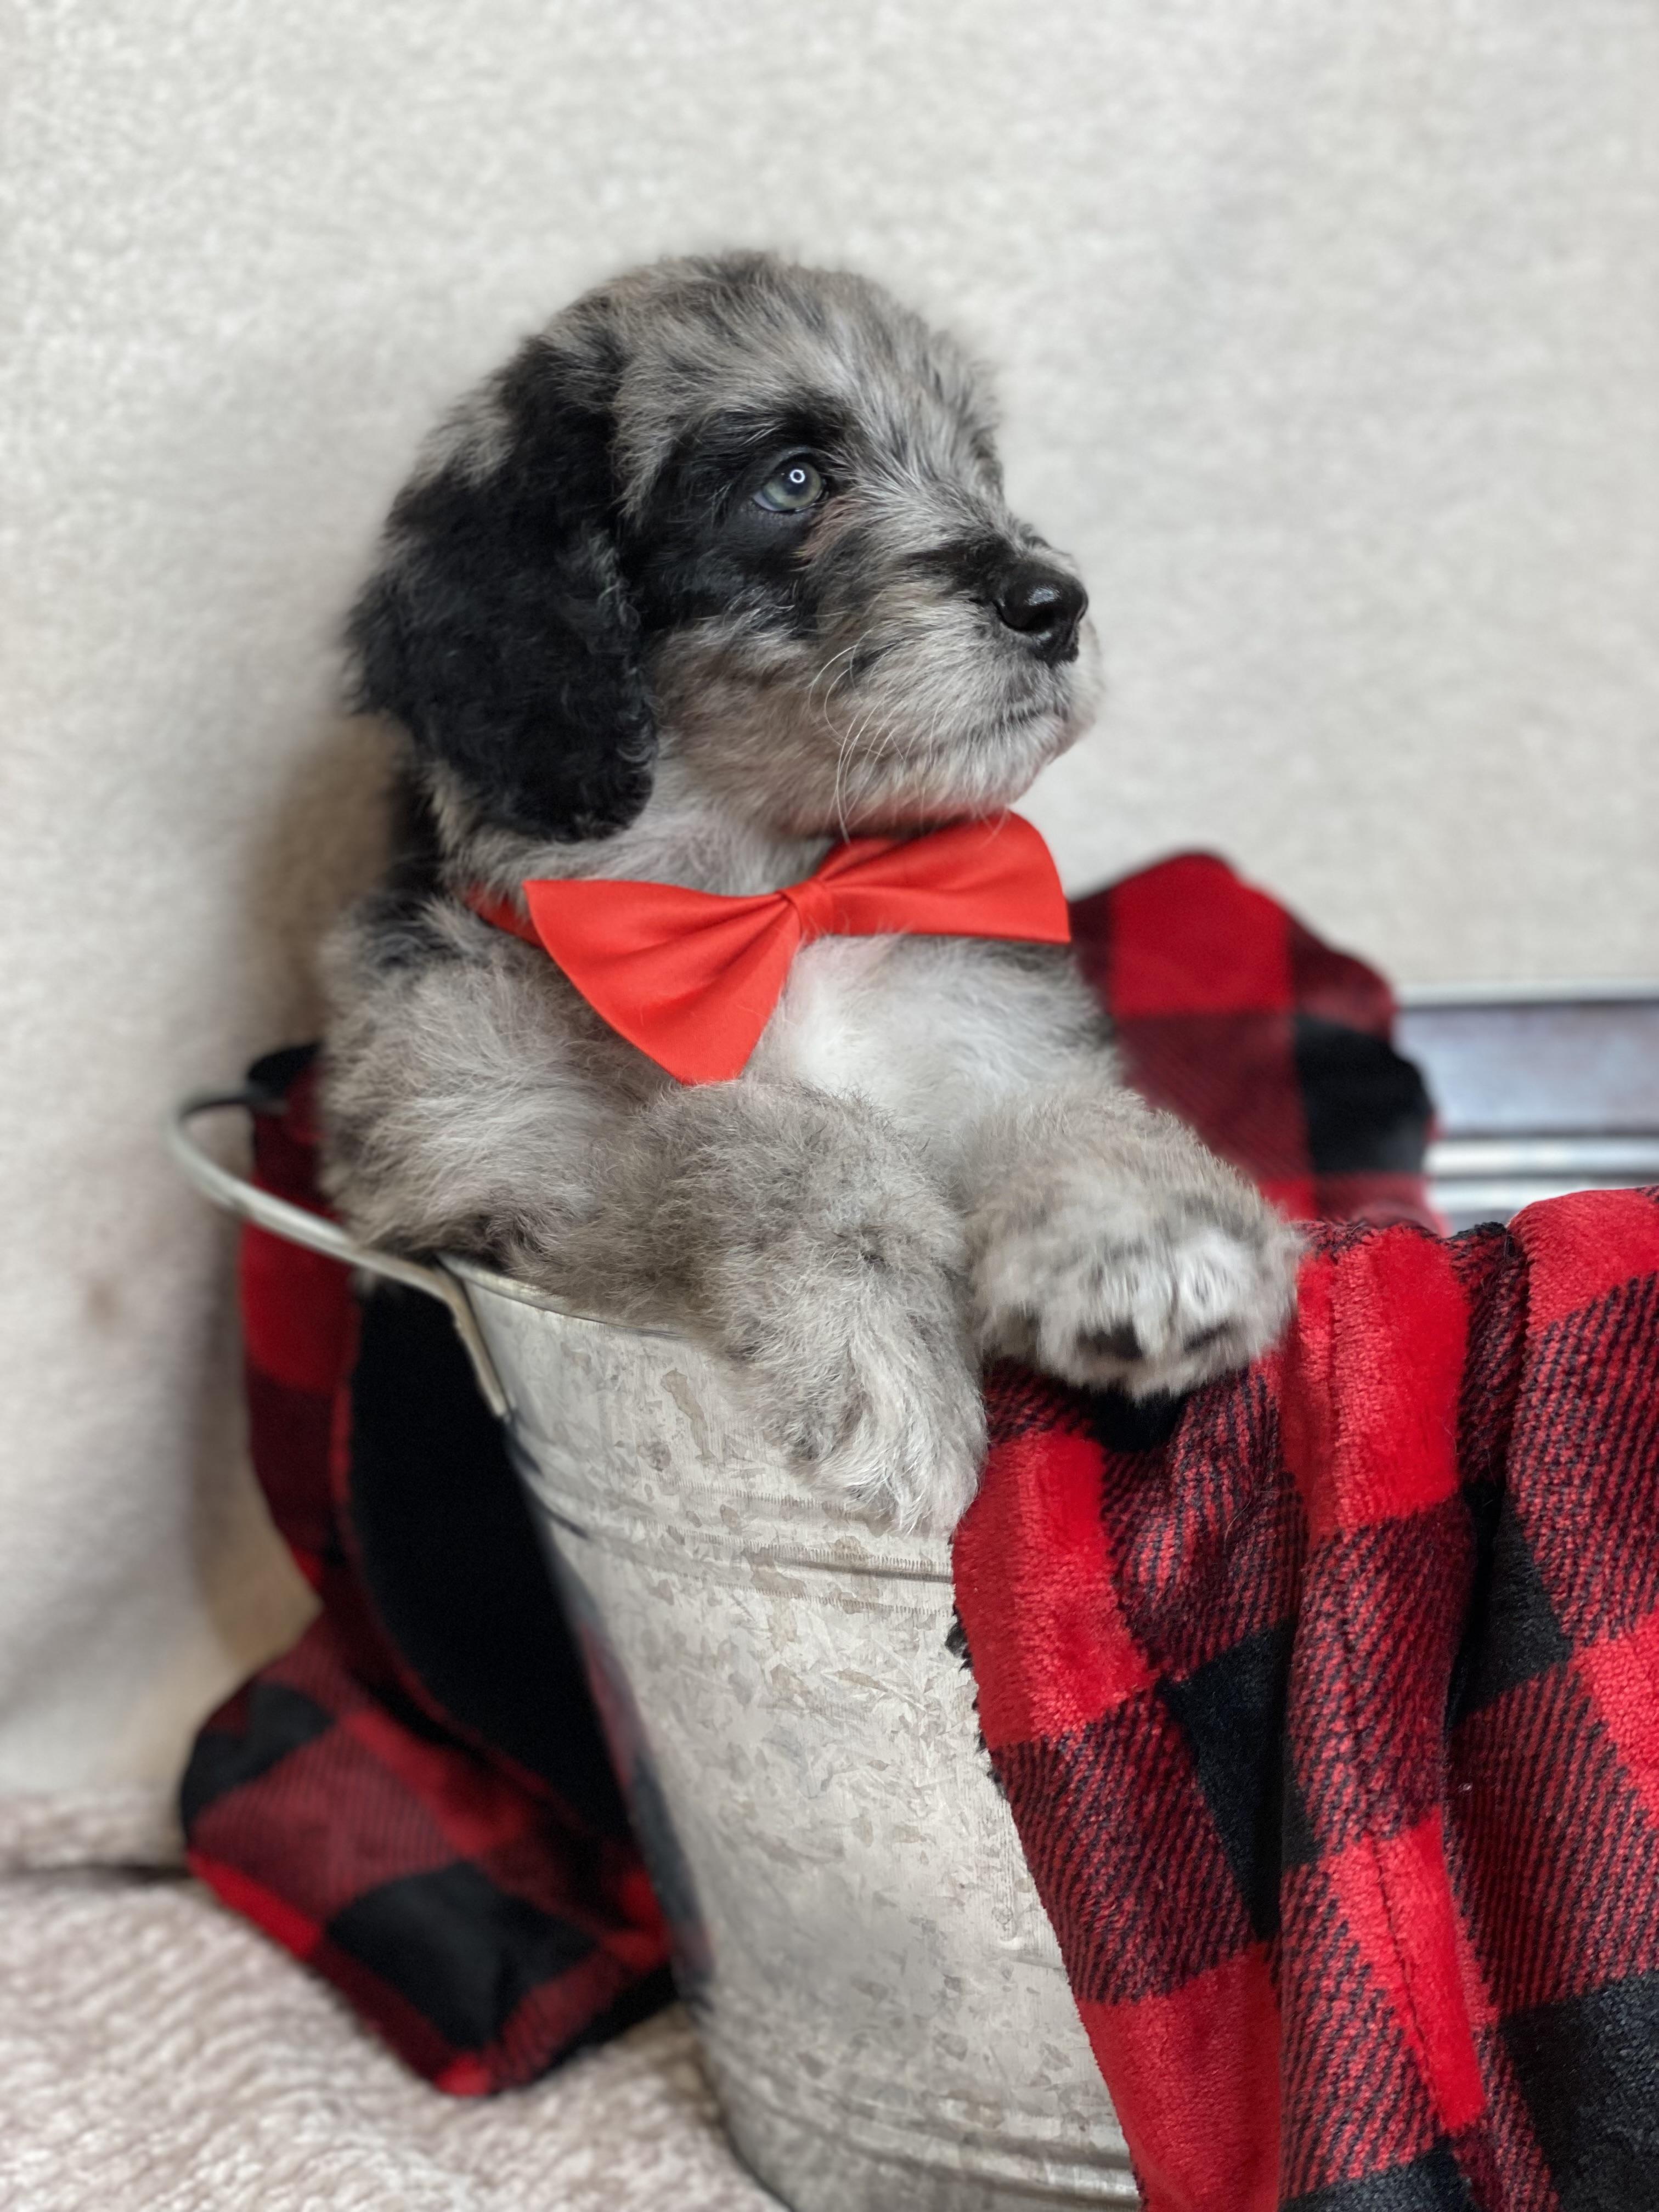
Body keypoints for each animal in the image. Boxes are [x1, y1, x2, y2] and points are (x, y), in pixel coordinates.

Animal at [320, 251, 1300, 1534]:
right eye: (791, 481)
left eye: (976, 464)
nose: (1054, 602)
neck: (779, 900)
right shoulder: (507, 1163)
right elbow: (760, 1132)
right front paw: (886, 1347)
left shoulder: (988, 1037)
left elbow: (1062, 1105)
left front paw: (1142, 1236)